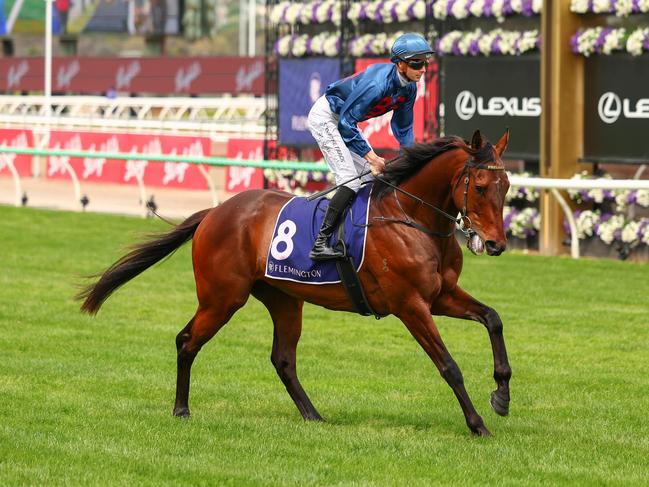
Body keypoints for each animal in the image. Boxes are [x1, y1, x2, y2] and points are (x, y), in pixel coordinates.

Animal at [77, 127, 512, 436]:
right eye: (481, 186)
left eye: (506, 186)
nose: (496, 244)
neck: (411, 217)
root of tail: (214, 213)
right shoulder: (410, 305)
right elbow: (449, 365)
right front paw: (478, 425)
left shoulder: (440, 295)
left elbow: (493, 318)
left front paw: (502, 395)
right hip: (222, 298)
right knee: (187, 341)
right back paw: (181, 409)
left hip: (284, 298)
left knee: (283, 359)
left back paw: (313, 415)